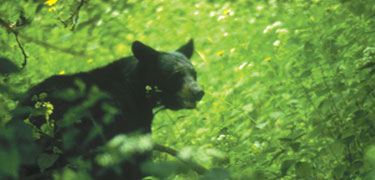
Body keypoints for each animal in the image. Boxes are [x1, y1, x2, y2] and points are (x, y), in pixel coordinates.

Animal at [16, 39, 206, 180]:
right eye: (176, 76)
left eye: (193, 73)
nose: (198, 92)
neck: (136, 90)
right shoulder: (129, 121)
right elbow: (136, 161)